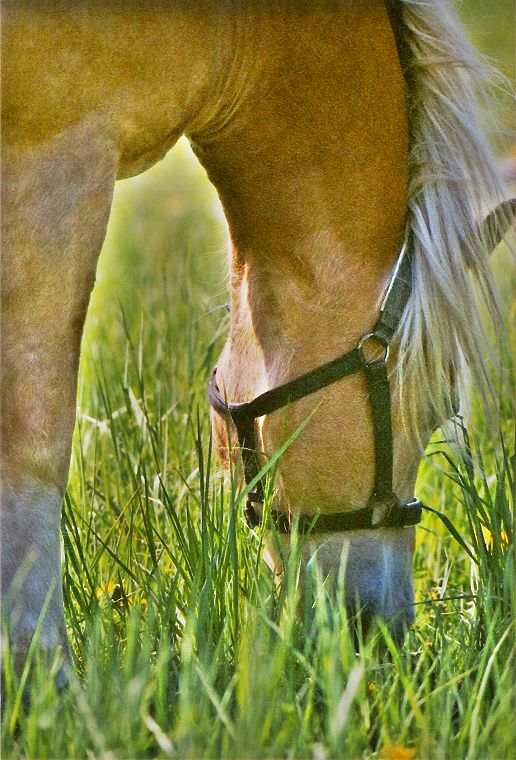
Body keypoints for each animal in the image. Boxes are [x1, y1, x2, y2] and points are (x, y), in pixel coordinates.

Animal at [1, 0, 513, 685]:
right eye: (432, 409)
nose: (384, 634)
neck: (237, 30)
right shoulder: (56, 154)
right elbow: (35, 442)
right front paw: (41, 673)